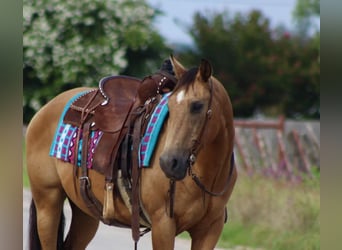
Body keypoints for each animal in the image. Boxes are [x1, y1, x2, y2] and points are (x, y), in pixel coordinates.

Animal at [26, 55, 238, 249]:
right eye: (169, 107)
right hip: (48, 204)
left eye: (197, 106)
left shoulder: (210, 230)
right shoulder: (163, 225)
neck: (206, 176)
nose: (169, 162)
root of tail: (43, 110)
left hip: (85, 212)